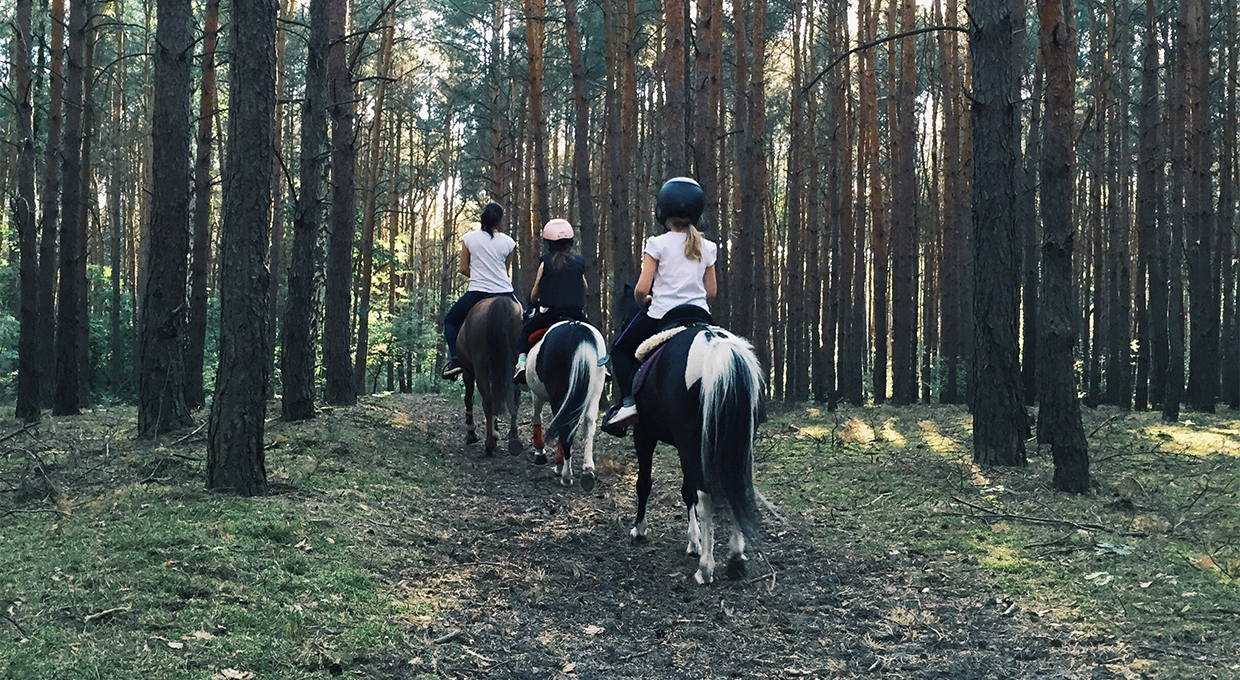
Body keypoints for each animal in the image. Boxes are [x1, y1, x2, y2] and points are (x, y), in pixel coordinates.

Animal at [456, 296, 523, 457]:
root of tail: (500, 302)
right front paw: (497, 432)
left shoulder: (468, 371)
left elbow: (469, 398)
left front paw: (472, 433)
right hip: (514, 363)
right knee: (514, 397)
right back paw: (513, 437)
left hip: (481, 368)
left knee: (488, 402)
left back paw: (489, 445)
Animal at [526, 320, 608, 489]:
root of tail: (575, 327)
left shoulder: (537, 395)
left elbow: (536, 417)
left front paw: (540, 452)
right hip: (594, 392)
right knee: (589, 425)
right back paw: (587, 469)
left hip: (559, 396)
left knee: (564, 429)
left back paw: (565, 474)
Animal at [624, 315, 766, 585]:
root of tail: (718, 347)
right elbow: (687, 489)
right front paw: (694, 541)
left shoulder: (644, 433)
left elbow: (645, 482)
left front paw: (639, 528)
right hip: (732, 447)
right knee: (733, 490)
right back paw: (736, 558)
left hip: (689, 442)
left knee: (706, 498)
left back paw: (705, 569)